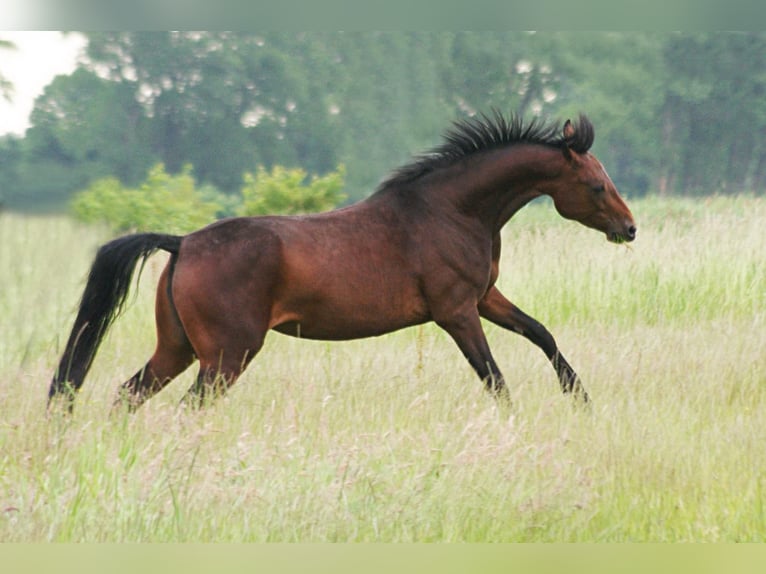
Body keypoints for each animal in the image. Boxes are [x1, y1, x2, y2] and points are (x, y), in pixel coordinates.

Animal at [46, 109, 636, 414]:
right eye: (594, 184)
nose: (629, 228)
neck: (450, 210)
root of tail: (183, 242)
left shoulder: (484, 297)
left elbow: (541, 334)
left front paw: (581, 399)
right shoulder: (456, 312)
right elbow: (494, 377)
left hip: (179, 348)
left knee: (129, 395)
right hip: (227, 354)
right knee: (187, 406)